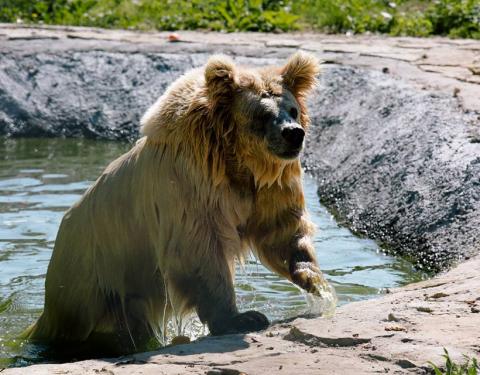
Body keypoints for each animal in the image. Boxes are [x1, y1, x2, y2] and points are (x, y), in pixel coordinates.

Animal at [28, 51, 324, 354]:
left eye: (292, 109)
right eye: (262, 113)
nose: (294, 133)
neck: (234, 160)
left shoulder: (267, 185)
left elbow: (281, 226)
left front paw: (312, 277)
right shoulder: (189, 186)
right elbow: (198, 250)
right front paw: (242, 318)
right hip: (96, 284)